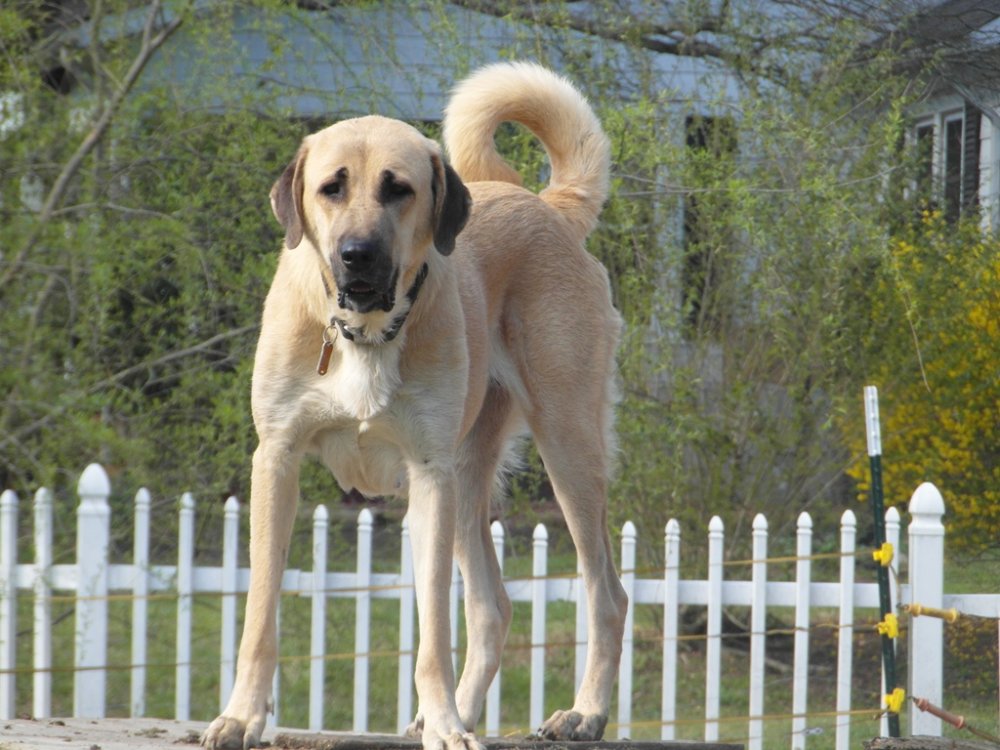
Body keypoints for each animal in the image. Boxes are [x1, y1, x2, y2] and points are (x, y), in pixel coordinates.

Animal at [202, 63, 624, 750]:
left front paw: (447, 725)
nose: (357, 255)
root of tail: (549, 207)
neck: (366, 331)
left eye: (398, 189)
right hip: (470, 476)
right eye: (331, 188)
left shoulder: (428, 475)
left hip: (565, 448)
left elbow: (434, 631)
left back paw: (582, 713)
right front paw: (242, 716)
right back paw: (461, 711)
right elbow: (260, 613)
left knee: (605, 593)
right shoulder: (278, 461)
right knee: (492, 608)